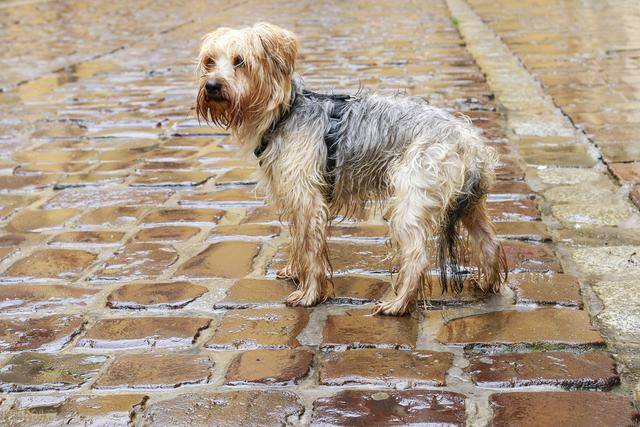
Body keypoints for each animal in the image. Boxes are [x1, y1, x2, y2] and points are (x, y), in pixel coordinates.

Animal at [198, 21, 508, 316]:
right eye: (209, 61)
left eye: (240, 61)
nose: (212, 85)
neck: (284, 112)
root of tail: (469, 143)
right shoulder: (295, 198)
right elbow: (298, 240)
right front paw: (294, 272)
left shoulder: (308, 200)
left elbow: (311, 249)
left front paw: (309, 294)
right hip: (469, 204)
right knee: (489, 242)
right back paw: (487, 283)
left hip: (411, 204)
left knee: (418, 257)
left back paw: (399, 304)